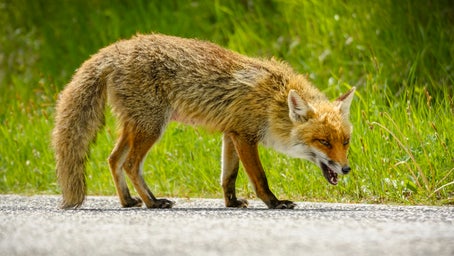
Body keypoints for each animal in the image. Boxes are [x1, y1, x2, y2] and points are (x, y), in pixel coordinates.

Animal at [52, 33, 354, 210]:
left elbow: (228, 176)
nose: (346, 168)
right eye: (323, 142)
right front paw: (274, 202)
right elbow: (259, 177)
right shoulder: (246, 136)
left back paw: (127, 201)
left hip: (136, 126)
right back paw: (152, 202)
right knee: (130, 164)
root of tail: (118, 48)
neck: (273, 101)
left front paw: (231, 203)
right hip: (151, 127)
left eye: (345, 142)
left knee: (113, 160)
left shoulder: (231, 134)